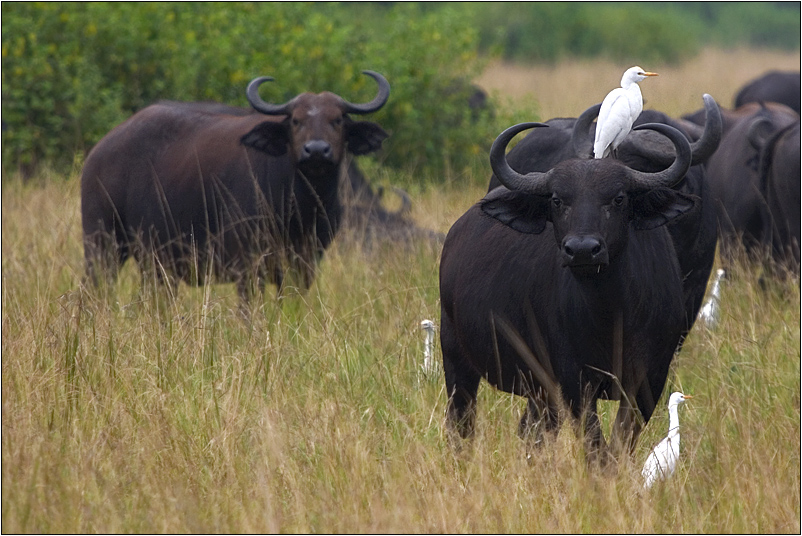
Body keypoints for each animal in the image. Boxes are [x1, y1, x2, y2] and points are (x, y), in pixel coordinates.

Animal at [83, 70, 390, 302]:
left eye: (337, 120)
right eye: (296, 120)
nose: (316, 150)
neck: (301, 208)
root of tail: (98, 153)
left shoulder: (304, 265)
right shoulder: (247, 266)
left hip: (156, 264)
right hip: (102, 244)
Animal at [438, 121, 692, 460]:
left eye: (619, 198)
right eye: (557, 200)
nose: (582, 249)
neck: (612, 313)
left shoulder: (649, 379)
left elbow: (621, 444)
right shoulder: (574, 381)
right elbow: (597, 448)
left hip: (537, 389)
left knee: (531, 433)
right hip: (455, 354)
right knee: (461, 425)